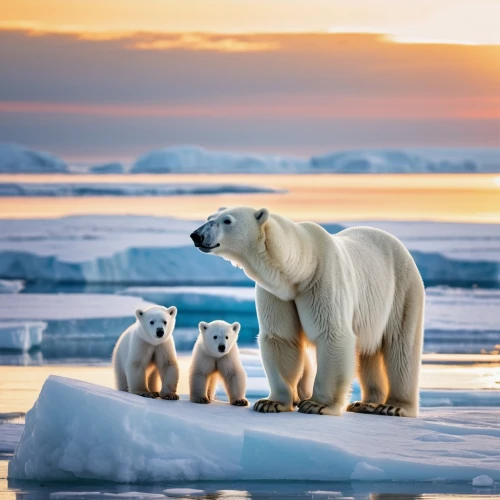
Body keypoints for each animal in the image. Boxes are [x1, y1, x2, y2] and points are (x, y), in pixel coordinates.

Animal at [189, 207, 424, 418]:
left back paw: (394, 406)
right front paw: (270, 403)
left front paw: (316, 404)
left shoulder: (323, 280)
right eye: (209, 217)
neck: (302, 267)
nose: (196, 235)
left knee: (401, 346)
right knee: (369, 350)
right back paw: (366, 403)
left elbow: (332, 333)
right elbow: (281, 337)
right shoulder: (278, 293)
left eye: (227, 220)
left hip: (402, 290)